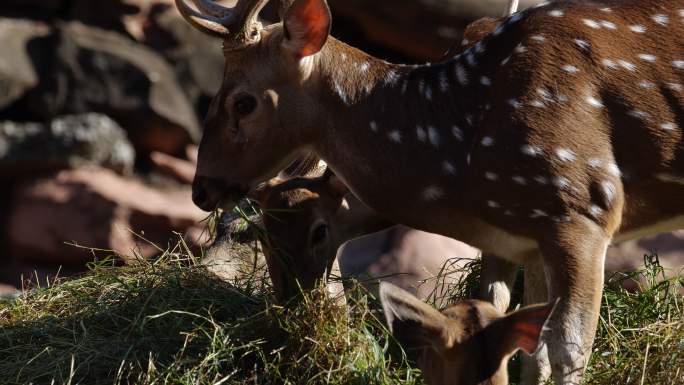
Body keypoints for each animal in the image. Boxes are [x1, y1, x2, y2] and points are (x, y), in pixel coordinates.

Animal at [178, 0, 684, 382]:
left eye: (243, 102)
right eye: (262, 236)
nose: (201, 189)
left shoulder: (581, 206)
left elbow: (567, 348)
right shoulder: (526, 239)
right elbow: (524, 344)